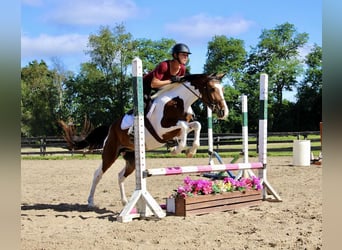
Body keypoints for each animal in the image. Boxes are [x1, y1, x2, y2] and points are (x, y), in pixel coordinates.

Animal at [59, 73, 228, 208]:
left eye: (222, 89)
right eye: (212, 89)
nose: (223, 112)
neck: (177, 102)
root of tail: (111, 127)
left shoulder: (179, 126)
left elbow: (195, 125)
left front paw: (190, 150)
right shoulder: (162, 131)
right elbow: (184, 127)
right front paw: (178, 149)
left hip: (132, 159)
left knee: (120, 176)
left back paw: (125, 202)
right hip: (110, 153)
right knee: (97, 174)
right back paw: (91, 201)